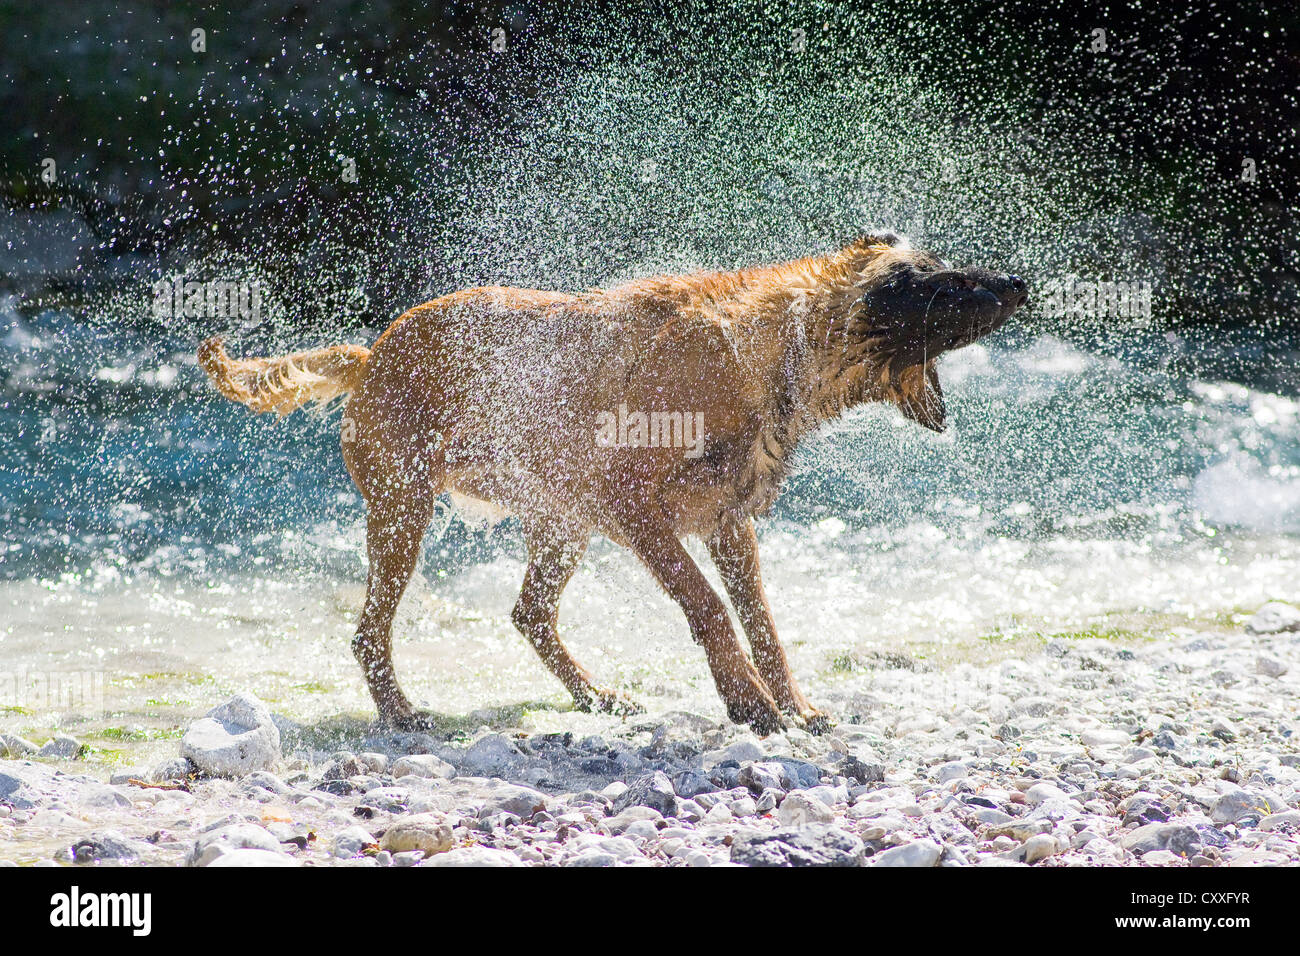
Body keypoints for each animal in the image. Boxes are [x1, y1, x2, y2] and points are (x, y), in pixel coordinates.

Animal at [197, 235, 1024, 738]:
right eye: (934, 280)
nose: (1019, 280)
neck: (766, 349)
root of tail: (371, 353)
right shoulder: (636, 508)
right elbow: (710, 610)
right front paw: (749, 704)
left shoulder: (728, 523)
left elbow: (762, 624)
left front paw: (792, 704)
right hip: (407, 516)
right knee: (372, 633)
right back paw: (403, 713)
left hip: (561, 525)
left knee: (528, 614)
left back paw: (593, 695)